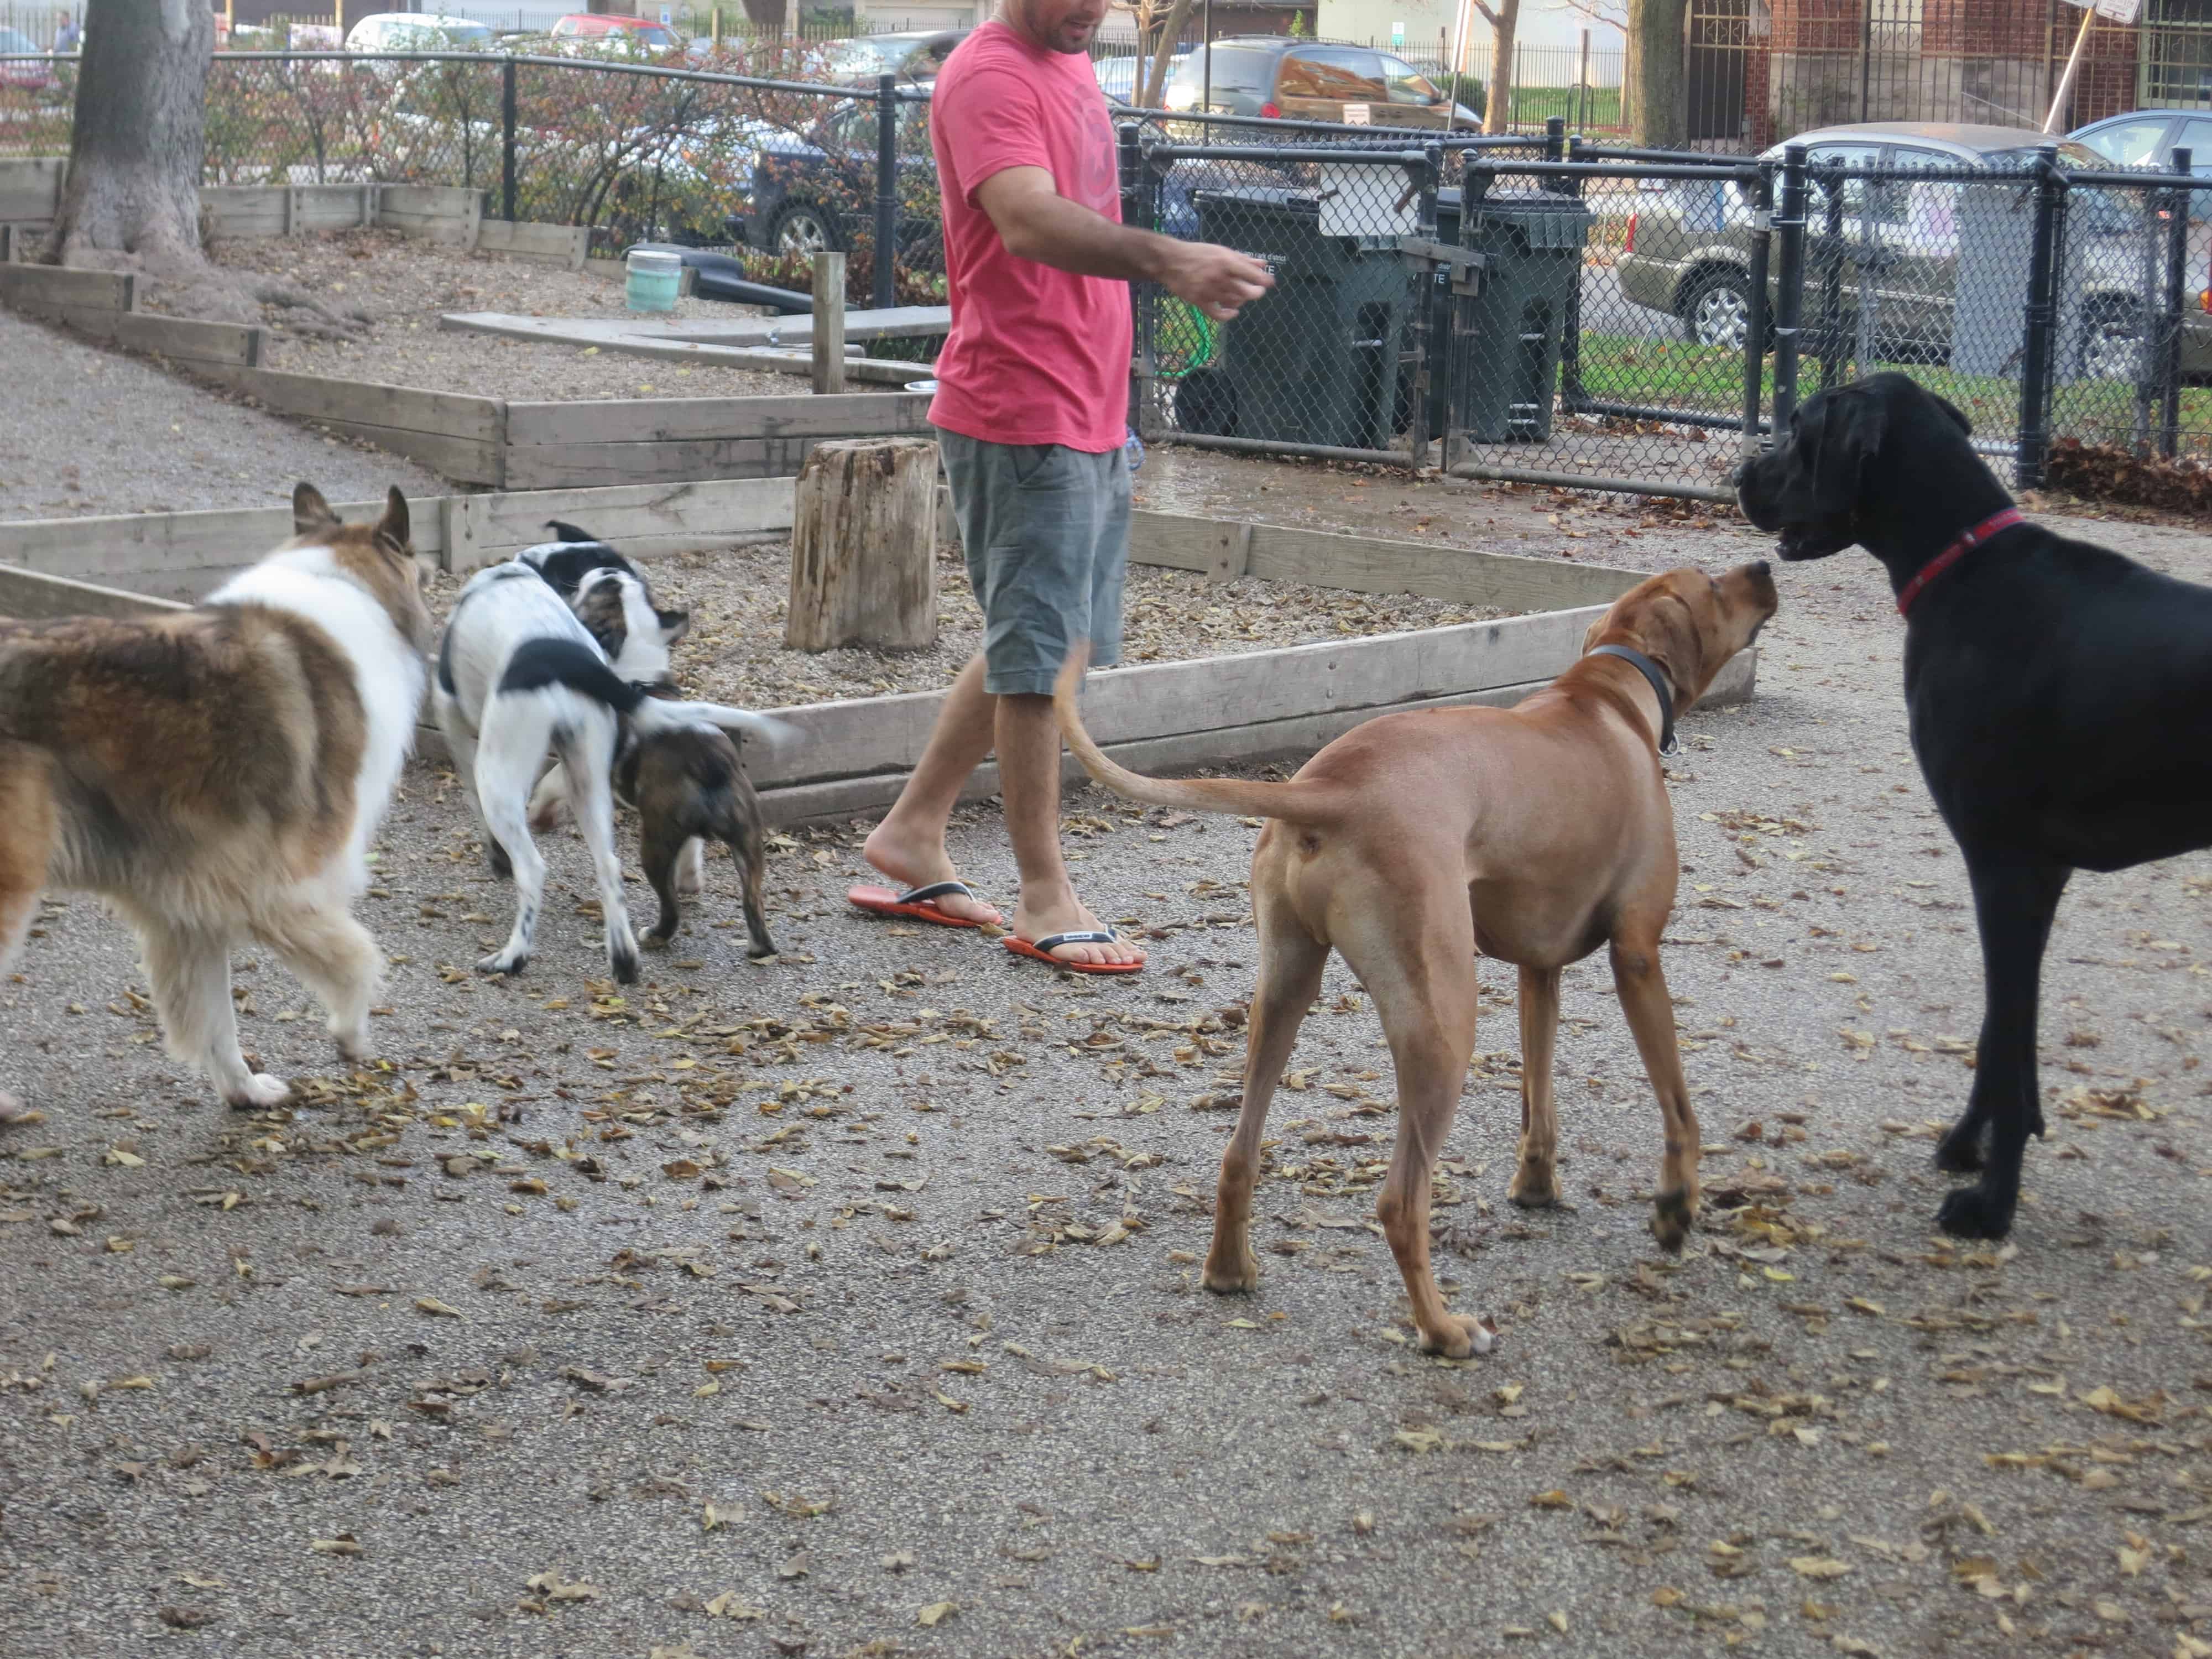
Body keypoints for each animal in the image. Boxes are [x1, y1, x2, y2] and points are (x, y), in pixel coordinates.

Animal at [0, 487, 431, 1124]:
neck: (345, 583)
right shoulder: (285, 888)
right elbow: (357, 962)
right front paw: (351, 1036)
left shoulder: (190, 906)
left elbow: (215, 1020)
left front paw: (244, 1090)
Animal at [429, 555, 779, 987]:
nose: (611, 572)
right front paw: (693, 877)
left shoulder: (451, 710)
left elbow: (483, 795)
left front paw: (501, 851)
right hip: (623, 794)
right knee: (615, 867)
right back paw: (628, 958)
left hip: (506, 774)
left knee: (534, 868)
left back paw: (514, 957)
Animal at [1053, 566, 1778, 1354]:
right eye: (1713, 582)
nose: (1766, 568)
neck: (1608, 692)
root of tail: (1330, 788)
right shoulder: (1638, 956)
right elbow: (1678, 1103)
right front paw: (1676, 1206)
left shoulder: (1538, 971)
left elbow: (1539, 1094)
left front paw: (1536, 1185)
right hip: (1444, 1022)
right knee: (1400, 1201)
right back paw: (1443, 1328)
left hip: (1283, 990)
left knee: (1239, 1151)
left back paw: (1228, 1270)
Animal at [1734, 374, 2212, 1239]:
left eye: (1798, 424)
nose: (1738, 476)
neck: (1964, 563)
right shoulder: (2037, 873)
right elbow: (2002, 1034)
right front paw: (1970, 1146)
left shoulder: (2003, 863)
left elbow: (2009, 1030)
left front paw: (1992, 1203)